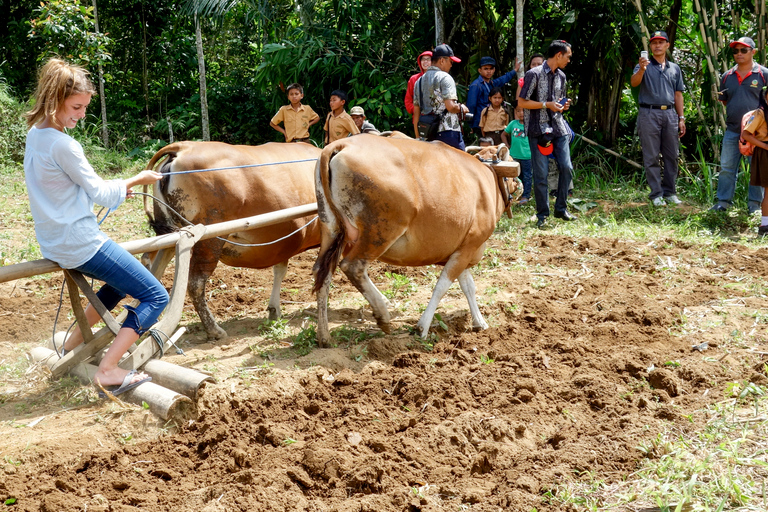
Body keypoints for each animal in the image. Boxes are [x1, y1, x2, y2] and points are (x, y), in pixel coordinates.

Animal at [144, 141, 320, 340]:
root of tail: (183, 147)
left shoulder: (285, 243)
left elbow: (280, 270)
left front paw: (274, 310)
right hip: (209, 238)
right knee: (195, 283)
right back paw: (213, 329)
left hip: (168, 231)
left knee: (150, 264)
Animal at [310, 134, 516, 346]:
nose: (521, 184)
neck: (486, 177)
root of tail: (341, 144)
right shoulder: (470, 244)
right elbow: (442, 286)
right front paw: (422, 327)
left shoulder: (464, 248)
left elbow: (468, 286)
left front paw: (479, 322)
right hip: (380, 231)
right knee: (353, 266)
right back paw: (382, 314)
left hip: (331, 229)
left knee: (322, 273)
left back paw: (324, 336)